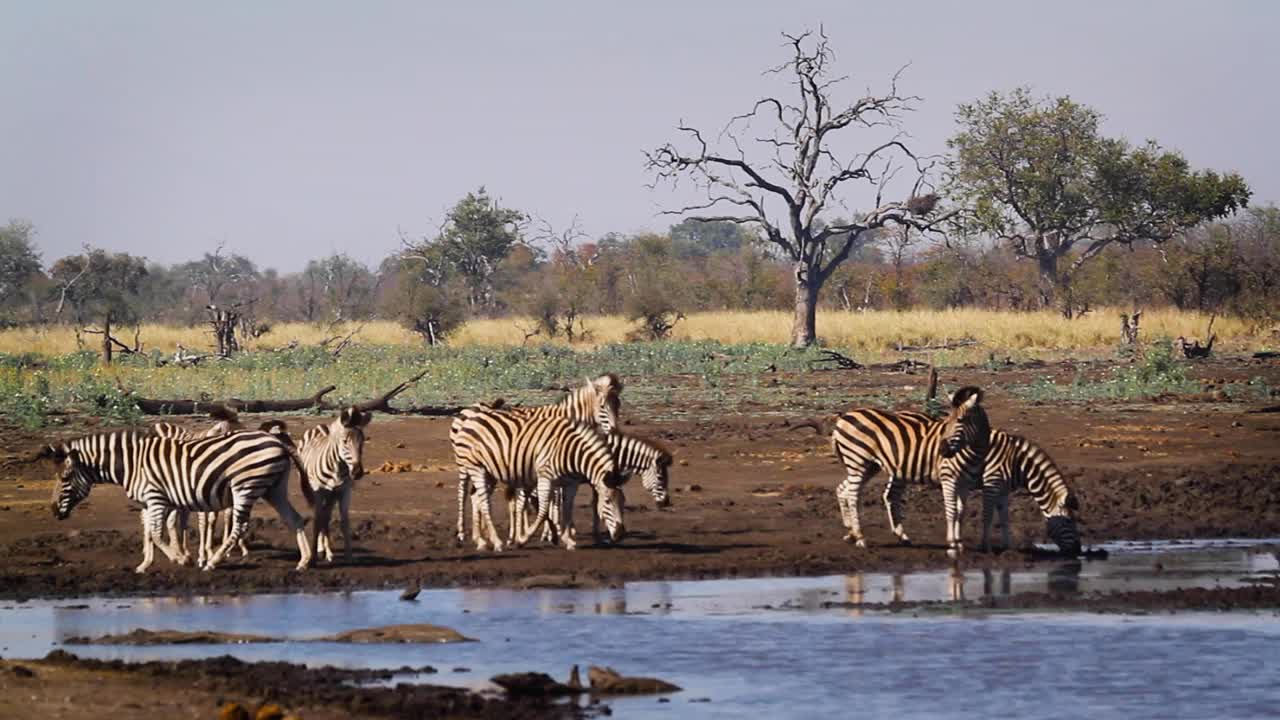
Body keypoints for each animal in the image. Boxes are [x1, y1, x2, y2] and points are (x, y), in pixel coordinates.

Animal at [45, 425, 317, 571]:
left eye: (65, 478)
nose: (54, 511)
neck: (131, 464)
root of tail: (276, 441)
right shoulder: (148, 503)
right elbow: (148, 532)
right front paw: (145, 565)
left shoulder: (156, 497)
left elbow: (157, 533)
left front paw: (180, 558)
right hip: (274, 488)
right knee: (295, 519)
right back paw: (304, 561)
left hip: (245, 485)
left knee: (239, 527)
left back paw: (212, 562)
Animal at [299, 404, 373, 561]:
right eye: (345, 441)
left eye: (363, 441)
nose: (357, 472)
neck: (337, 469)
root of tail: (320, 426)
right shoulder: (319, 492)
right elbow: (317, 520)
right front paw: (313, 556)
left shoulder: (344, 491)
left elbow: (344, 522)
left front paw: (349, 556)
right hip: (313, 491)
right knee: (321, 516)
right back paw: (321, 549)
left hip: (332, 496)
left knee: (326, 516)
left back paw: (327, 551)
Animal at [788, 386, 988, 556]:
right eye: (949, 421)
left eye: (959, 420)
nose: (943, 450)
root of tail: (843, 418)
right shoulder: (951, 479)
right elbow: (953, 509)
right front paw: (954, 544)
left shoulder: (964, 482)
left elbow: (961, 510)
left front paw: (959, 542)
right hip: (858, 460)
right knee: (853, 495)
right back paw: (860, 537)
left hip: (871, 465)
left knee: (846, 489)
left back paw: (856, 532)